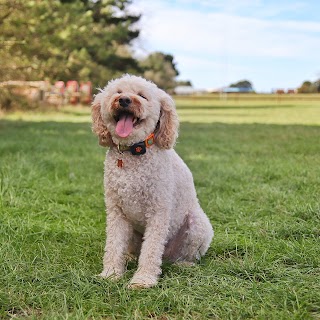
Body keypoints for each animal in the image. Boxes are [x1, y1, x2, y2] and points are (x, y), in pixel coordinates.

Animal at [91, 74, 214, 288]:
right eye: (118, 92)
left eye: (142, 96)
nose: (124, 100)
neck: (132, 152)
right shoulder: (117, 212)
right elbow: (114, 245)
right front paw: (111, 273)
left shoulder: (158, 212)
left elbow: (151, 250)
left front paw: (143, 280)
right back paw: (129, 258)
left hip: (198, 226)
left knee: (185, 254)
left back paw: (184, 264)